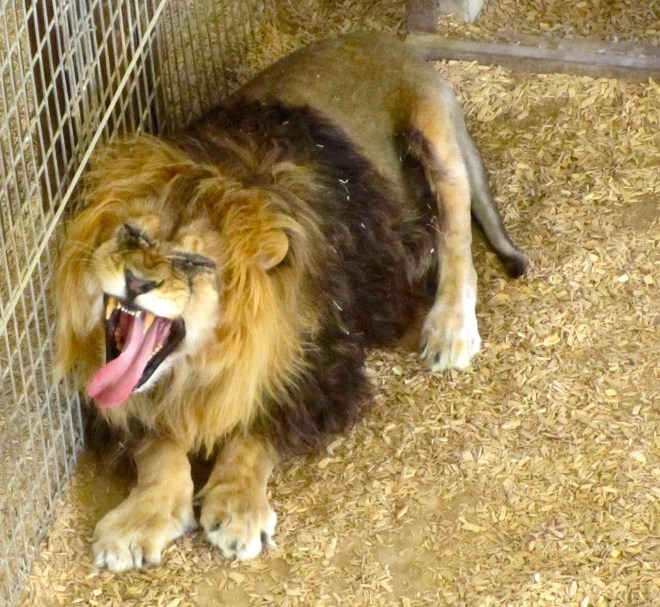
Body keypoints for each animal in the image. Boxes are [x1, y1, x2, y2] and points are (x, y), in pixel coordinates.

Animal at [55, 32, 527, 571]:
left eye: (194, 262)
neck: (208, 360)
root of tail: (388, 41)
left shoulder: (320, 366)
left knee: (456, 242)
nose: (135, 282)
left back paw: (450, 330)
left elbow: (255, 433)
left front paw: (237, 507)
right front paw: (141, 519)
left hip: (437, 142)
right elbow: (158, 446)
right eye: (132, 235)